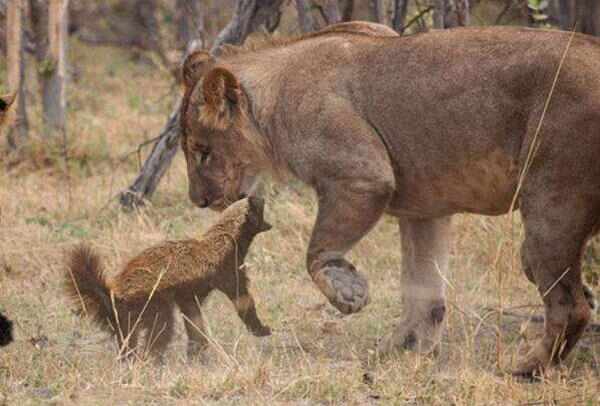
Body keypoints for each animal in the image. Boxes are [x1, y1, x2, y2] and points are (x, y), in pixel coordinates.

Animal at [64, 198, 270, 360]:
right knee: (160, 330)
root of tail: (112, 294)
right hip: (152, 303)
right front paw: (262, 330)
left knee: (128, 340)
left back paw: (130, 360)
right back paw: (151, 360)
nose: (261, 196)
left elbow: (193, 320)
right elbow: (243, 301)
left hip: (127, 319)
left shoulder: (188, 295)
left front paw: (196, 351)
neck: (225, 237)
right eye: (259, 207)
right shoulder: (227, 270)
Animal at [178, 22, 600, 376]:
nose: (198, 201)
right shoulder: (425, 209)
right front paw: (401, 350)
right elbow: (422, 291)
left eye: (202, 152)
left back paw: (527, 368)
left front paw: (348, 292)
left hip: (552, 203)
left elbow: (316, 252)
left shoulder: (363, 176)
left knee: (570, 304)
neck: (273, 102)